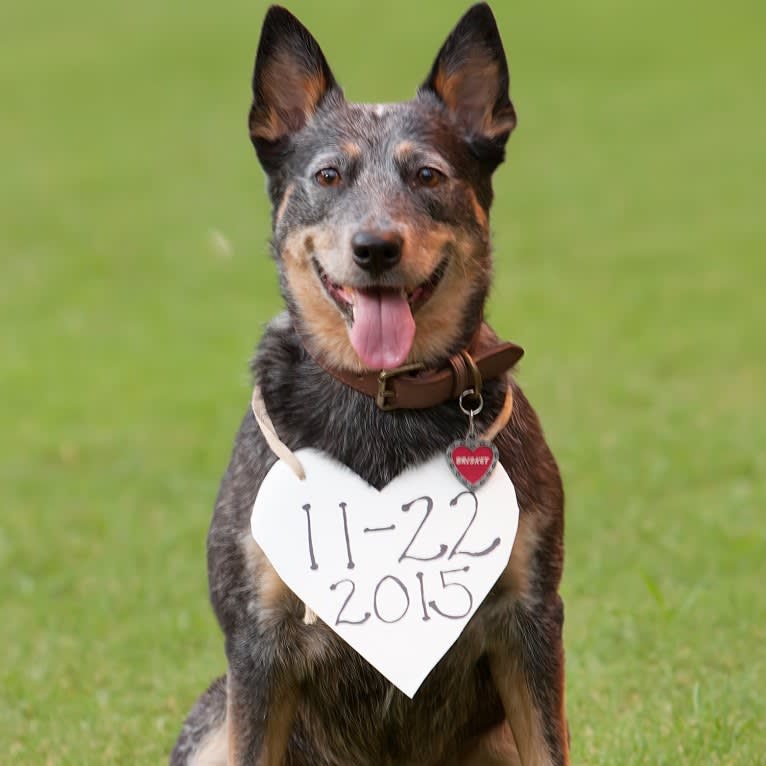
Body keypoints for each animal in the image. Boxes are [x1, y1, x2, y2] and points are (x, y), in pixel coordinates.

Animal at [171, 6, 572, 766]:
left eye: (428, 174)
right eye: (329, 175)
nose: (376, 247)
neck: (382, 403)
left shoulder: (529, 620)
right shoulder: (259, 643)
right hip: (212, 721)